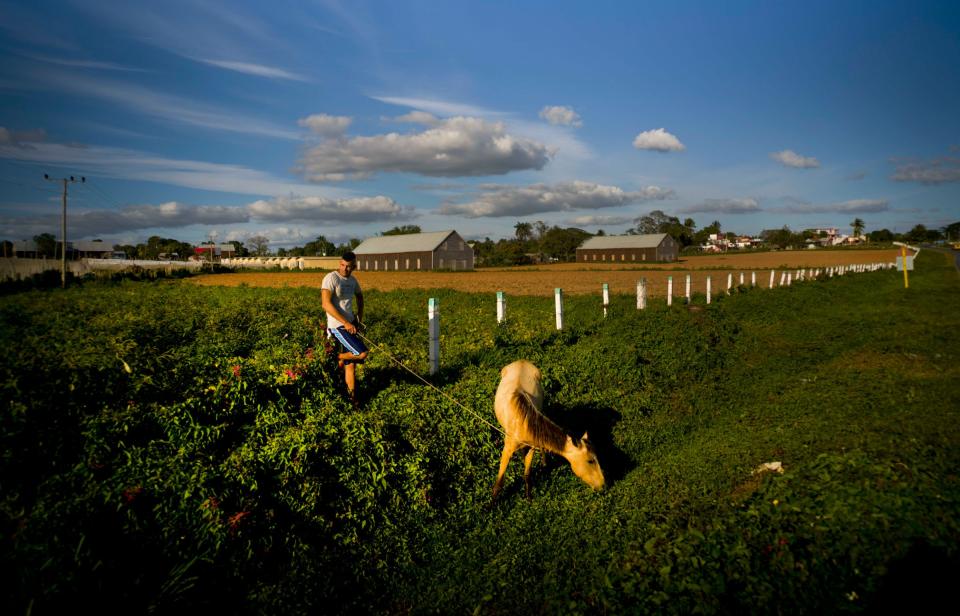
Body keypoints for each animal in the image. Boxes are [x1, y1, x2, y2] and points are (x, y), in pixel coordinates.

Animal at [492, 360, 604, 500]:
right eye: (590, 461)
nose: (603, 485)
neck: (523, 421)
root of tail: (521, 361)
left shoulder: (532, 447)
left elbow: (527, 473)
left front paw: (528, 497)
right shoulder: (507, 450)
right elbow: (499, 482)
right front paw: (492, 503)